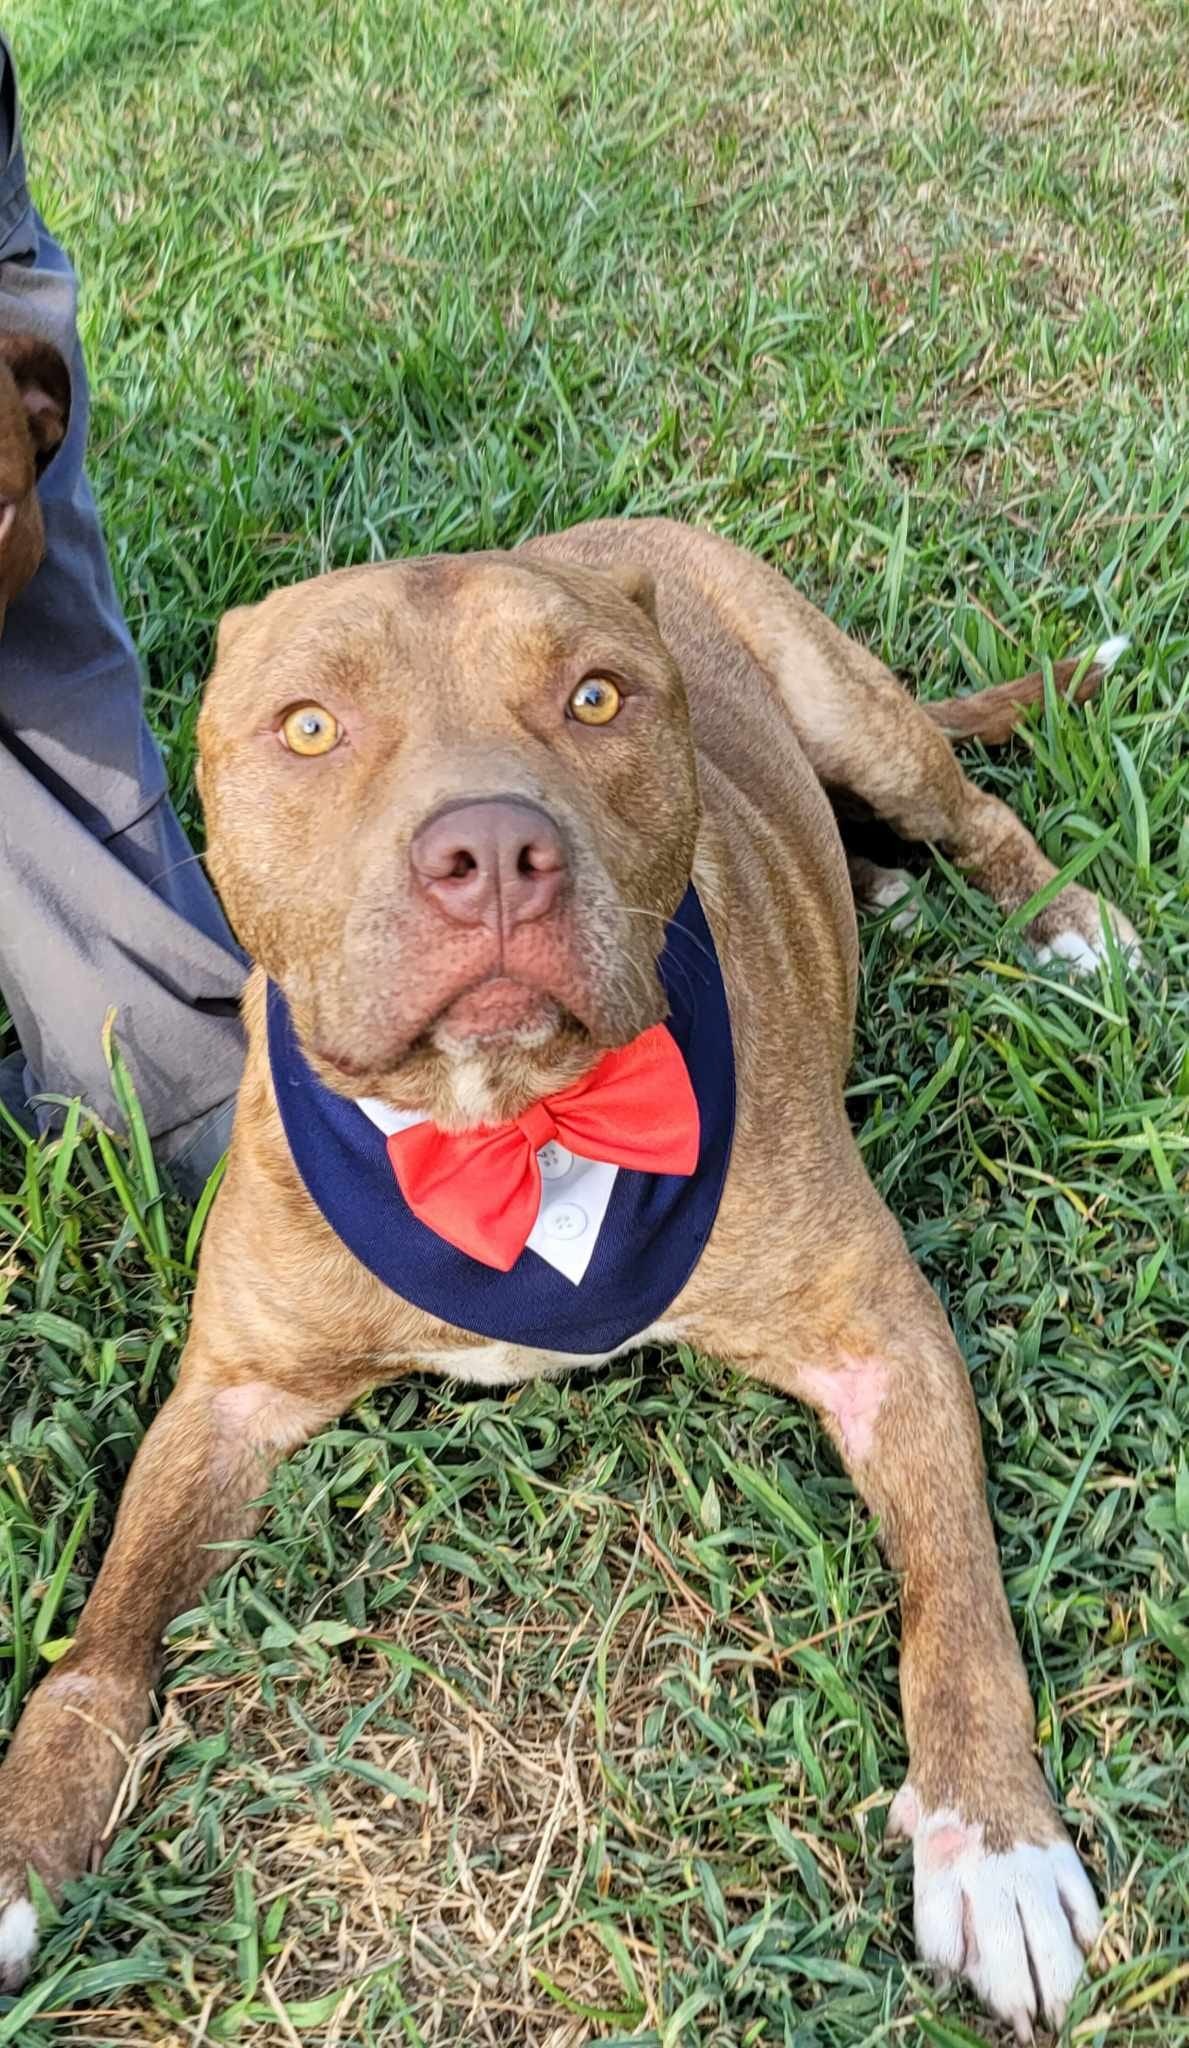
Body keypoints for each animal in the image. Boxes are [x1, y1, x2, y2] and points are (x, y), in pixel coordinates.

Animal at [0, 516, 1137, 2031]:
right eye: (309, 725)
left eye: (594, 697)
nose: (488, 848)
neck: (506, 1125)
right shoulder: (230, 1398)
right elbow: (106, 1636)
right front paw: (22, 1840)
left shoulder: (877, 1338)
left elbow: (955, 1606)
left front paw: (993, 1843)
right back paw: (874, 886)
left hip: (857, 714)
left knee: (974, 814)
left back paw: (1061, 922)